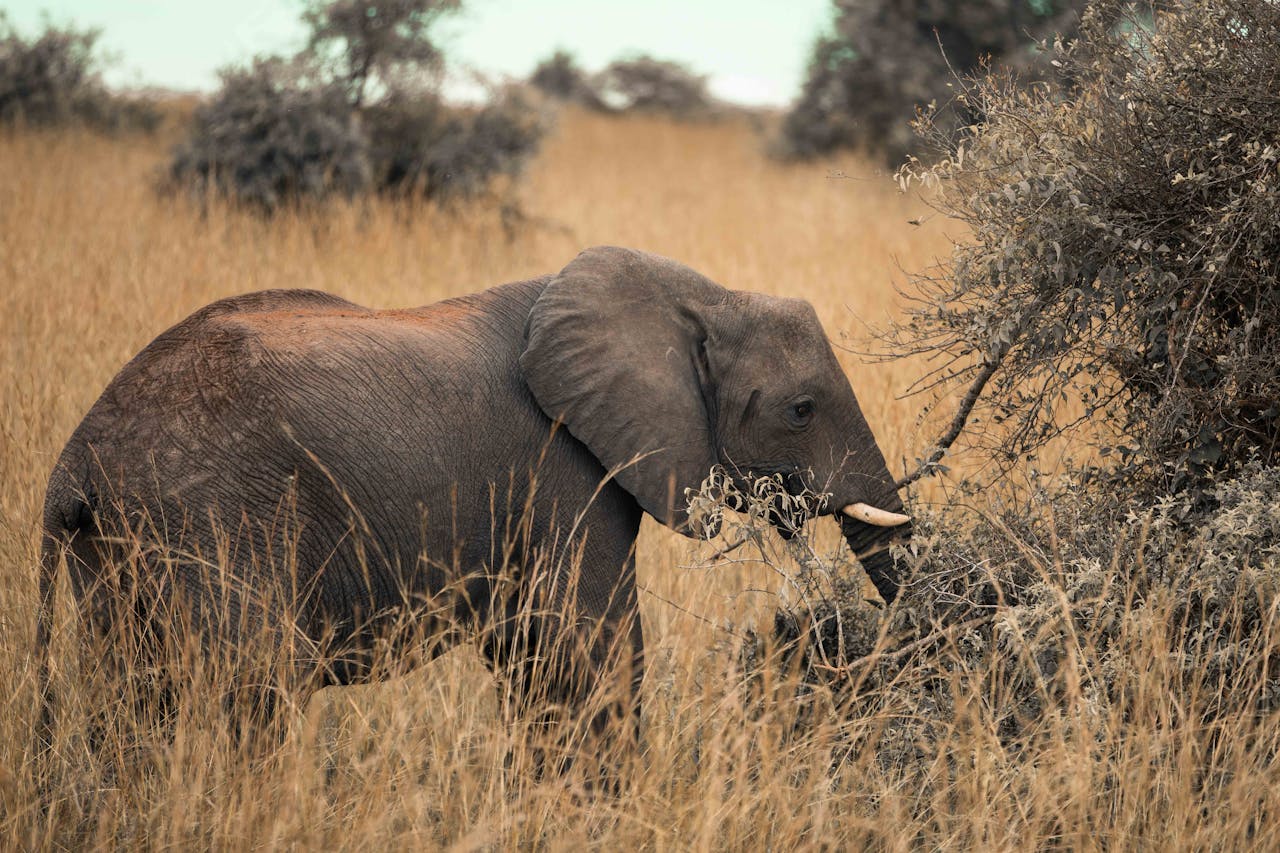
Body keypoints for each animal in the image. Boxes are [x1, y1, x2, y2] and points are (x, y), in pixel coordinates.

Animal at [36, 245, 911, 761]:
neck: (703, 294)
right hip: (211, 518)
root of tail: (74, 462)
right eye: (800, 409)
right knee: (250, 688)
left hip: (122, 552)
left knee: (130, 696)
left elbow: (532, 653)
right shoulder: (563, 462)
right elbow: (587, 647)